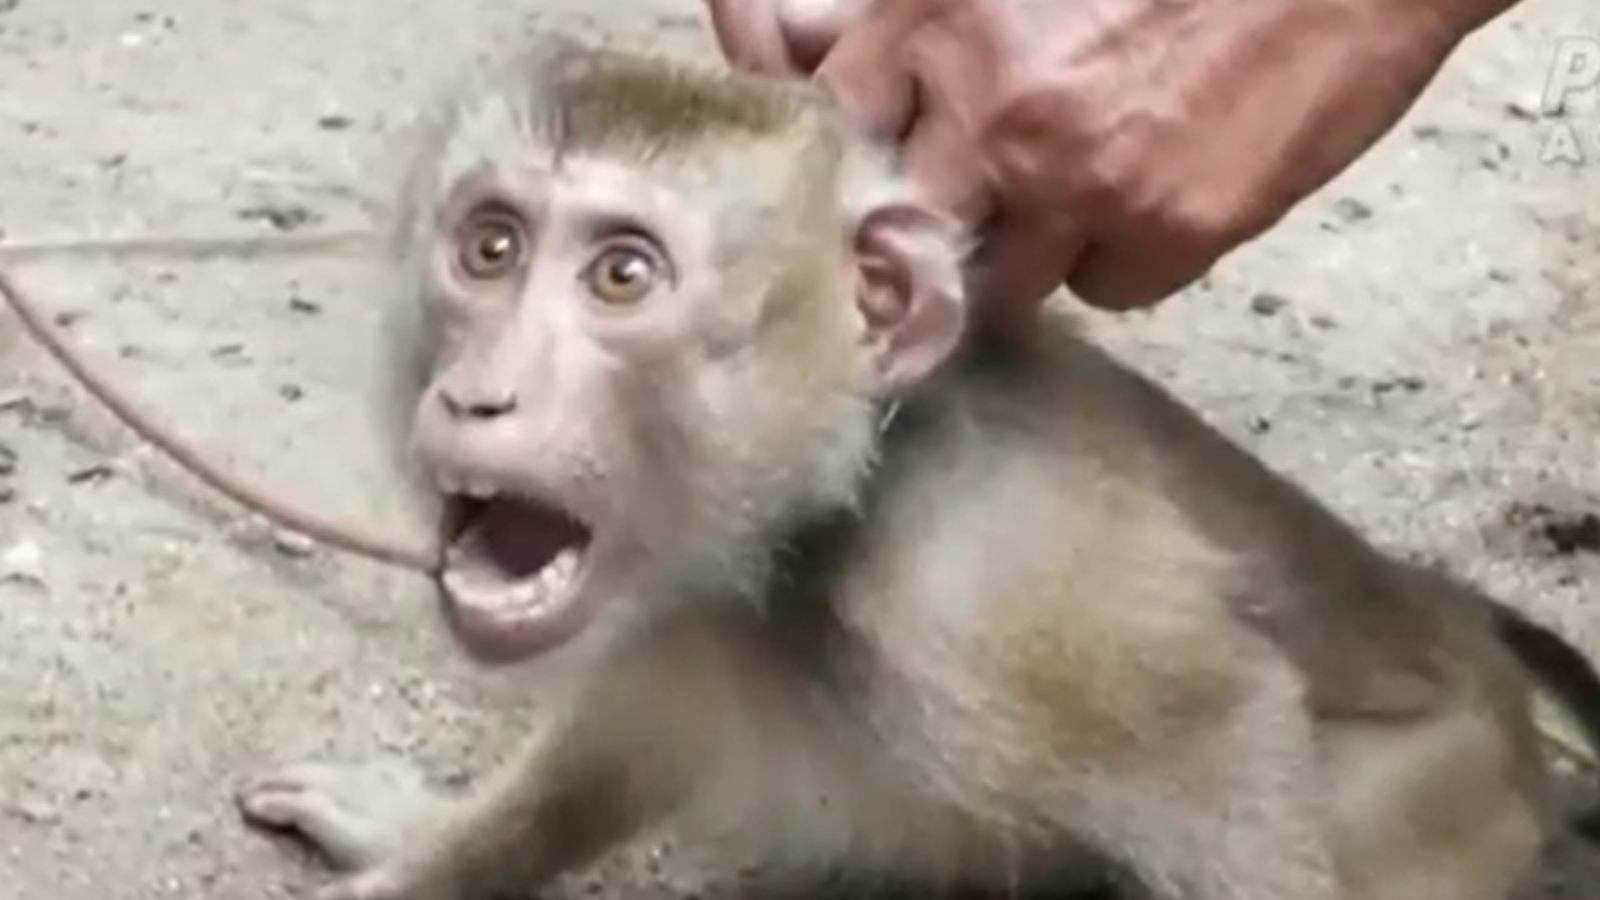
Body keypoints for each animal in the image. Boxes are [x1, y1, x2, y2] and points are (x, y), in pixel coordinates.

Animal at [233, 36, 1600, 900]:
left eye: (621, 275)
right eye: (491, 247)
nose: (478, 393)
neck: (819, 519)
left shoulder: (998, 602)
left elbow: (1232, 741)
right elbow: (615, 751)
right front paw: (429, 843)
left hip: (1436, 804)